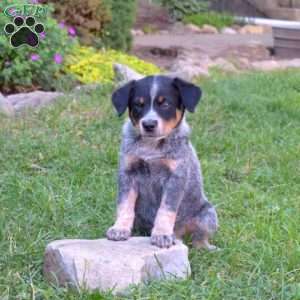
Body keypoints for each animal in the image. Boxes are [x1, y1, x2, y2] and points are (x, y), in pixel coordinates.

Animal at [106, 76, 218, 250]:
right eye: (138, 104)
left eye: (165, 104)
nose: (149, 125)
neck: (151, 147)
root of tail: (179, 234)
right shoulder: (127, 173)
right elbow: (125, 205)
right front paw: (119, 229)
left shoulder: (175, 177)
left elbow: (166, 209)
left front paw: (162, 235)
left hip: (208, 214)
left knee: (198, 238)